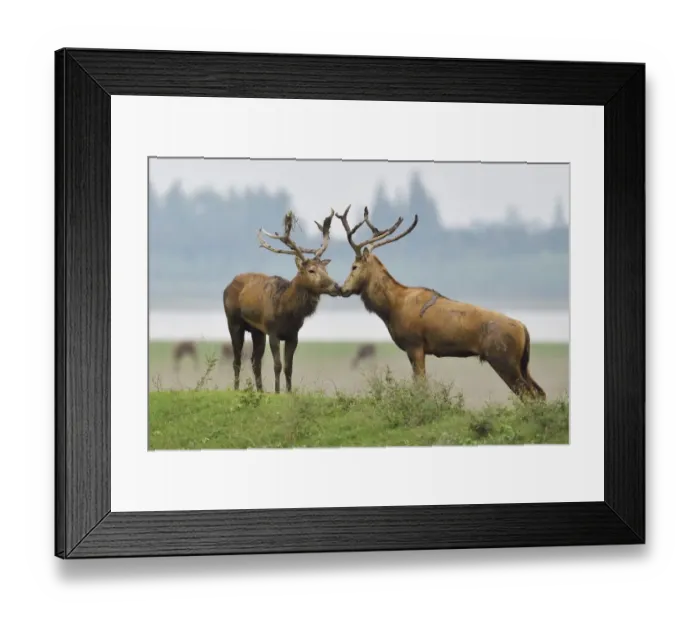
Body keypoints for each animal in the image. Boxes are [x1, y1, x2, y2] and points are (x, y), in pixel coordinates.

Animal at [223, 210, 342, 393]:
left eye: (325, 269)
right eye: (311, 270)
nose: (336, 286)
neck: (287, 310)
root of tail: (228, 286)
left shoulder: (293, 335)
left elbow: (288, 367)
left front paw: (289, 392)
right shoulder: (273, 332)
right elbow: (277, 365)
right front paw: (278, 392)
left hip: (257, 331)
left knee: (255, 361)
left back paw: (260, 390)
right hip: (233, 322)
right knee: (237, 360)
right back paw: (236, 389)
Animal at [334, 205, 547, 401]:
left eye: (354, 266)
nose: (342, 288)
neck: (391, 308)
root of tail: (524, 330)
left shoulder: (414, 345)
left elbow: (421, 386)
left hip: (504, 359)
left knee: (529, 395)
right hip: (522, 364)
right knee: (540, 393)